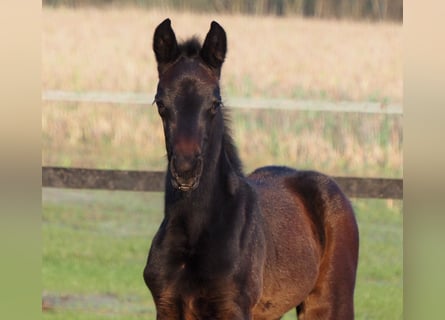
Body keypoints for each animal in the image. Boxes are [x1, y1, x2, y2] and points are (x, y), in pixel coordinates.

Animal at [144, 18, 360, 318]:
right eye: (161, 103)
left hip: (329, 301)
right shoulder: (167, 306)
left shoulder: (232, 307)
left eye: (215, 103)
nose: (186, 170)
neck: (194, 234)